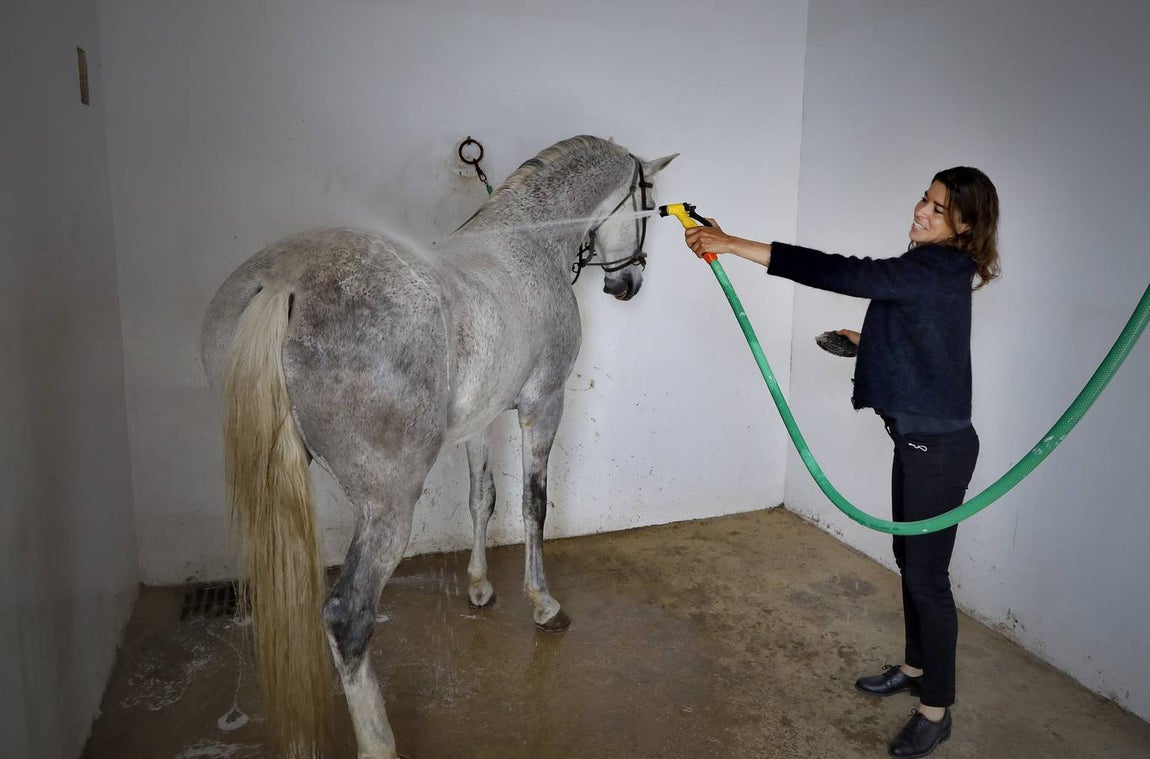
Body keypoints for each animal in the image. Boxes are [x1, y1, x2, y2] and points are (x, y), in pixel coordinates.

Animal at [200, 135, 676, 759]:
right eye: (648, 200)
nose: (627, 285)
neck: (526, 243)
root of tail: (284, 284)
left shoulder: (478, 422)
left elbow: (482, 498)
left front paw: (479, 586)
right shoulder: (543, 404)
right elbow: (533, 504)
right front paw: (542, 603)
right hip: (388, 504)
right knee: (347, 616)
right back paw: (380, 742)